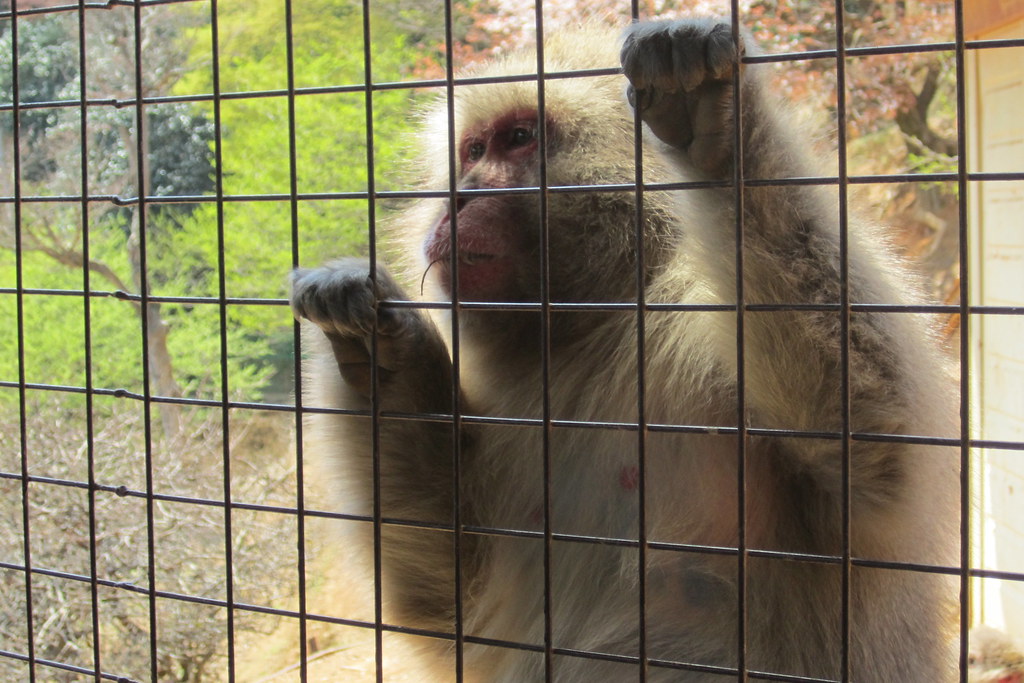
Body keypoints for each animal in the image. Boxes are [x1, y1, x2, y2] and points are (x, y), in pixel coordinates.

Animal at [291, 17, 960, 682]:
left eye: (518, 139)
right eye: (473, 152)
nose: (460, 197)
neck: (602, 321)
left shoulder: (694, 313)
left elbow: (880, 453)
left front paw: (720, 131)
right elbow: (451, 606)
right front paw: (383, 347)